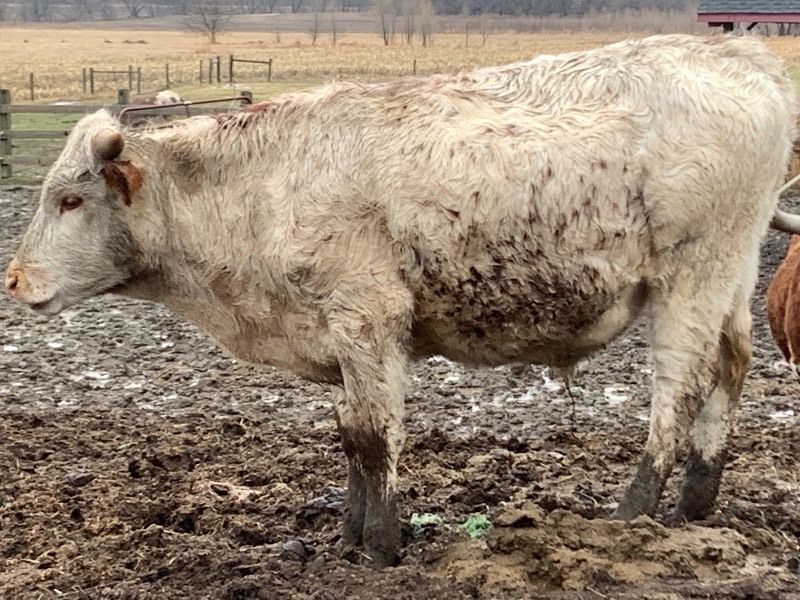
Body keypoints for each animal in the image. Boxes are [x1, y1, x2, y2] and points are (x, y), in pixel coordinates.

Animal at [5, 34, 800, 569]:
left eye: (71, 199)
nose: (13, 281)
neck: (263, 185)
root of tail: (739, 55)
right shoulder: (336, 334)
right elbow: (350, 434)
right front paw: (349, 536)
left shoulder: (368, 318)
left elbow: (376, 436)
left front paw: (381, 547)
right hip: (729, 281)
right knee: (731, 368)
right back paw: (695, 504)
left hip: (692, 275)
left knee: (679, 390)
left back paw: (630, 515)